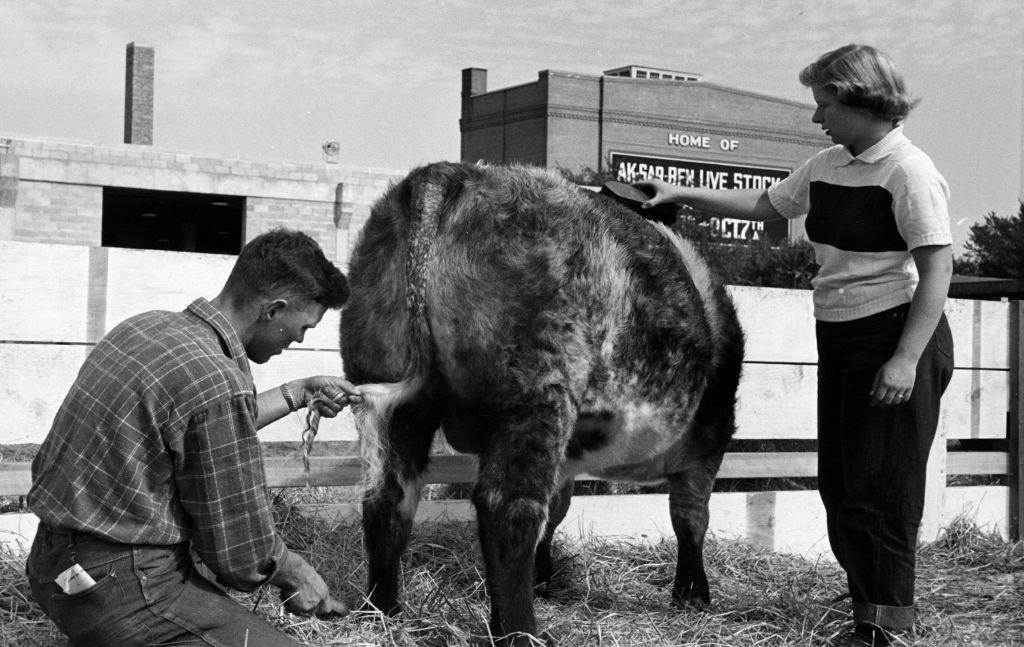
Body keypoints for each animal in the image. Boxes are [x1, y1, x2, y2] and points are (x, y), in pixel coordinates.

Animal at [339, 161, 741, 647]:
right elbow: (691, 517)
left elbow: (559, 508)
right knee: (508, 508)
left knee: (389, 496)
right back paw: (519, 631)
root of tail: (452, 173)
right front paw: (693, 594)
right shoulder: (710, 438)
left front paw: (545, 579)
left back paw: (383, 610)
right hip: (536, 393)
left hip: (396, 392)